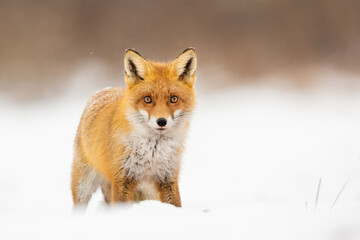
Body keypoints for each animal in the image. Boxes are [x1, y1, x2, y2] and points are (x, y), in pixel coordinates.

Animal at [71, 47, 197, 207]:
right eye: (147, 99)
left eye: (173, 99)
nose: (161, 121)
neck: (153, 151)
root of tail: (103, 90)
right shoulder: (122, 178)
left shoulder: (167, 177)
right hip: (83, 185)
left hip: (147, 191)